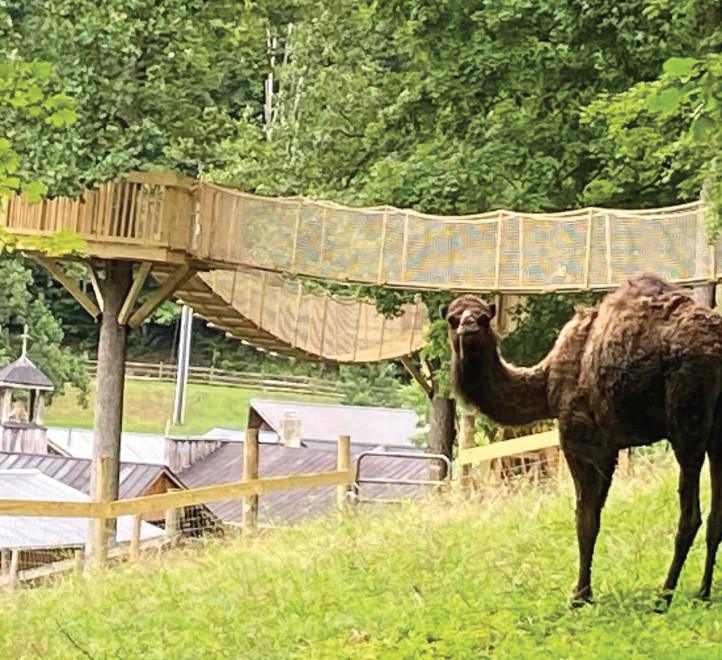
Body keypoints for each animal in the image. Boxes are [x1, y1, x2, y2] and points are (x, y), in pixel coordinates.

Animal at [438, 274, 720, 608]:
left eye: (482, 318)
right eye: (453, 318)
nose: (468, 327)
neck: (545, 381)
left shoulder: (583, 439)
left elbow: (585, 519)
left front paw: (580, 596)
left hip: (687, 419)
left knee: (690, 516)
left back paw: (663, 597)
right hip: (718, 432)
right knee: (715, 517)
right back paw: (702, 593)